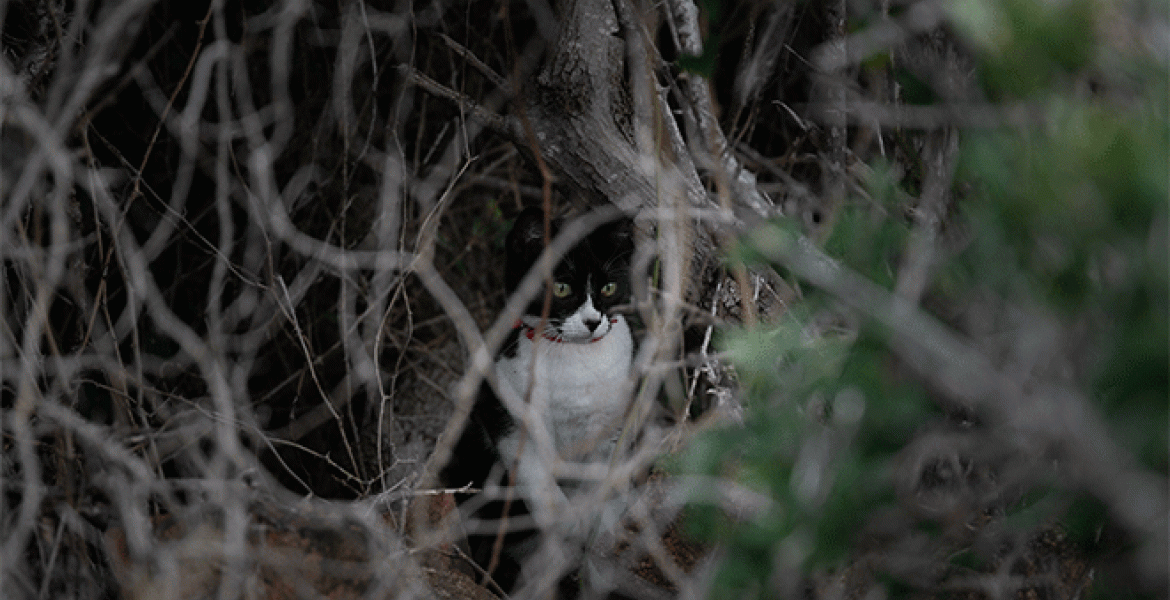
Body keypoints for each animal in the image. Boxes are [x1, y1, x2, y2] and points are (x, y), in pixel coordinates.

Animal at [439, 205, 641, 589]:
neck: (575, 361)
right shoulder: (501, 409)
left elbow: (603, 482)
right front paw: (570, 523)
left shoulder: (611, 428)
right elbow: (537, 478)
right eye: (561, 287)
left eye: (609, 287)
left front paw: (597, 539)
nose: (593, 321)